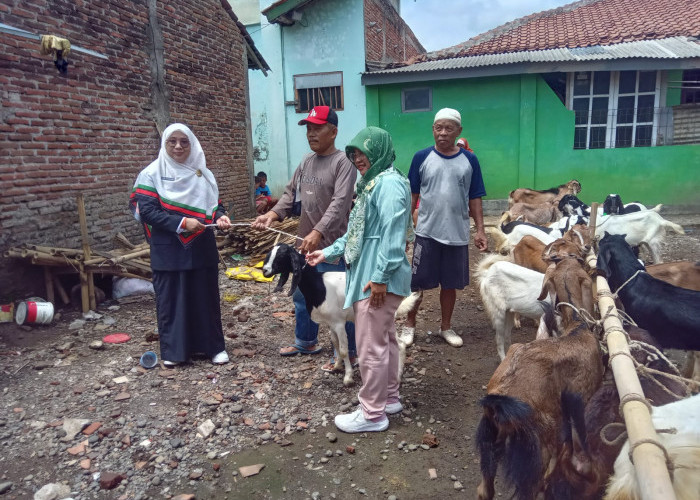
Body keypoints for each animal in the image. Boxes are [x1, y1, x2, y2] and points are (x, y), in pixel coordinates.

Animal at [262, 245, 416, 386]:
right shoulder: (331, 323)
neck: (320, 284)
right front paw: (336, 366)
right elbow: (335, 344)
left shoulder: (339, 323)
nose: (265, 270)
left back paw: (397, 375)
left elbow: (342, 350)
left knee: (400, 344)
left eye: (281, 256)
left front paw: (348, 377)